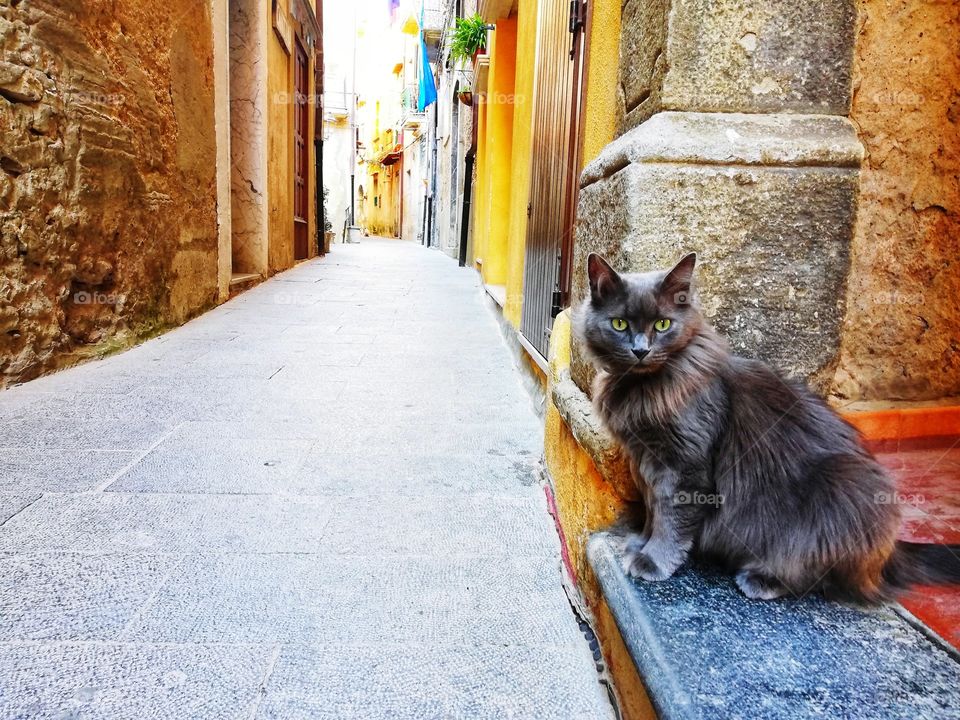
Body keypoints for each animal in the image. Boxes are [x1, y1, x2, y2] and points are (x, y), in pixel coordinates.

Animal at [576, 253, 960, 600]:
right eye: (619, 325)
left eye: (662, 325)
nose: (640, 351)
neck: (643, 387)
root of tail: (891, 552)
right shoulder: (645, 459)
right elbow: (653, 509)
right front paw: (640, 543)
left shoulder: (685, 465)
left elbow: (671, 518)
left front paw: (653, 561)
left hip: (845, 487)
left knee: (816, 571)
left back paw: (762, 579)